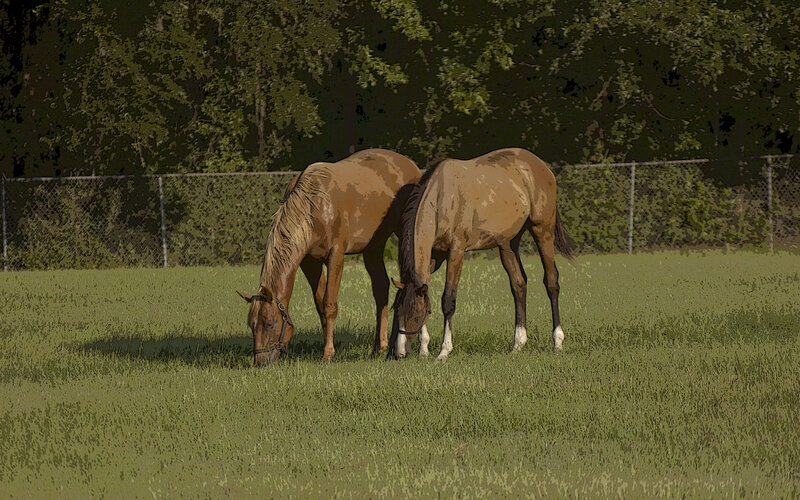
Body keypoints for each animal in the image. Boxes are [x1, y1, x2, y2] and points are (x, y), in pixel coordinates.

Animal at [238, 149, 421, 366]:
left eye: (270, 323)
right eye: (252, 325)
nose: (261, 362)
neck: (314, 205)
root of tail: (410, 164)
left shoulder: (336, 255)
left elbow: (329, 304)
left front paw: (328, 353)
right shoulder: (309, 262)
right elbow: (320, 305)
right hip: (373, 248)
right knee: (381, 288)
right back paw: (379, 347)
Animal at [388, 147, 574, 361]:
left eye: (416, 316)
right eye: (397, 312)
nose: (401, 352)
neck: (442, 199)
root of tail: (542, 166)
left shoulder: (456, 251)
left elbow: (448, 300)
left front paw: (444, 351)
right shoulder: (435, 256)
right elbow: (425, 289)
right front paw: (424, 349)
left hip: (543, 230)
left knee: (551, 281)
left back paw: (557, 342)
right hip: (508, 244)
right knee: (519, 285)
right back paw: (518, 344)